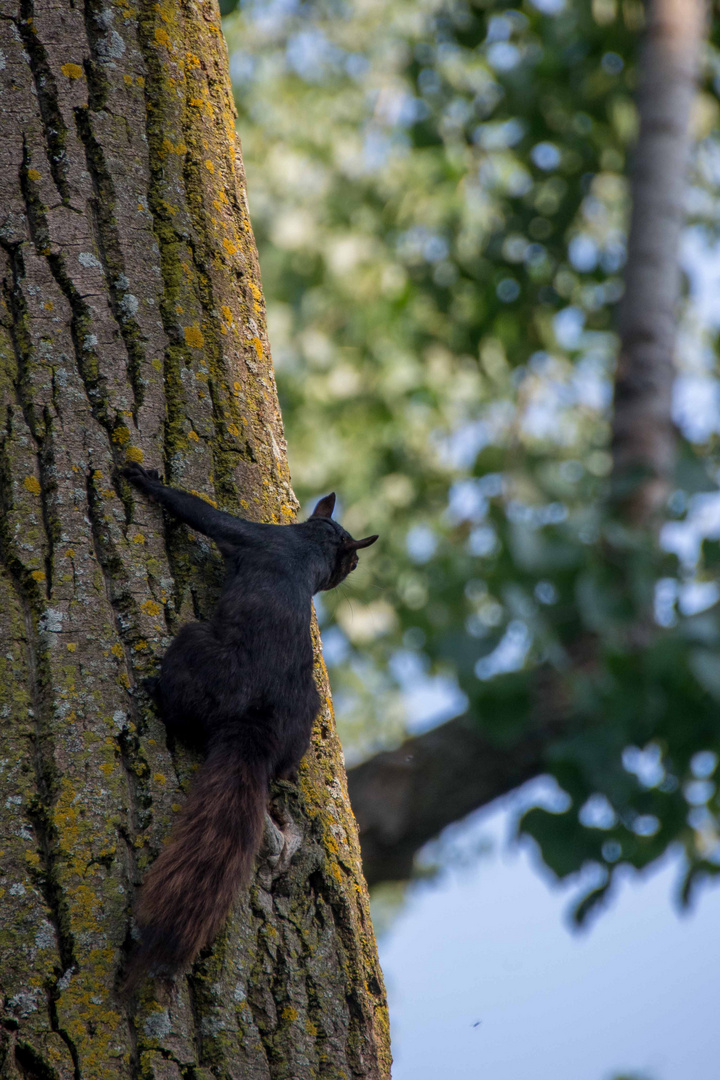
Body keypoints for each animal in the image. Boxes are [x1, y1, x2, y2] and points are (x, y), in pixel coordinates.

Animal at [119, 464, 377, 989]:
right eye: (351, 558)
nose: (354, 568)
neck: (307, 544)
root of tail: (253, 728)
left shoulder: (253, 535)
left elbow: (201, 513)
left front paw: (144, 480)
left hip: (197, 646)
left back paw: (155, 690)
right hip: (301, 722)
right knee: (283, 766)